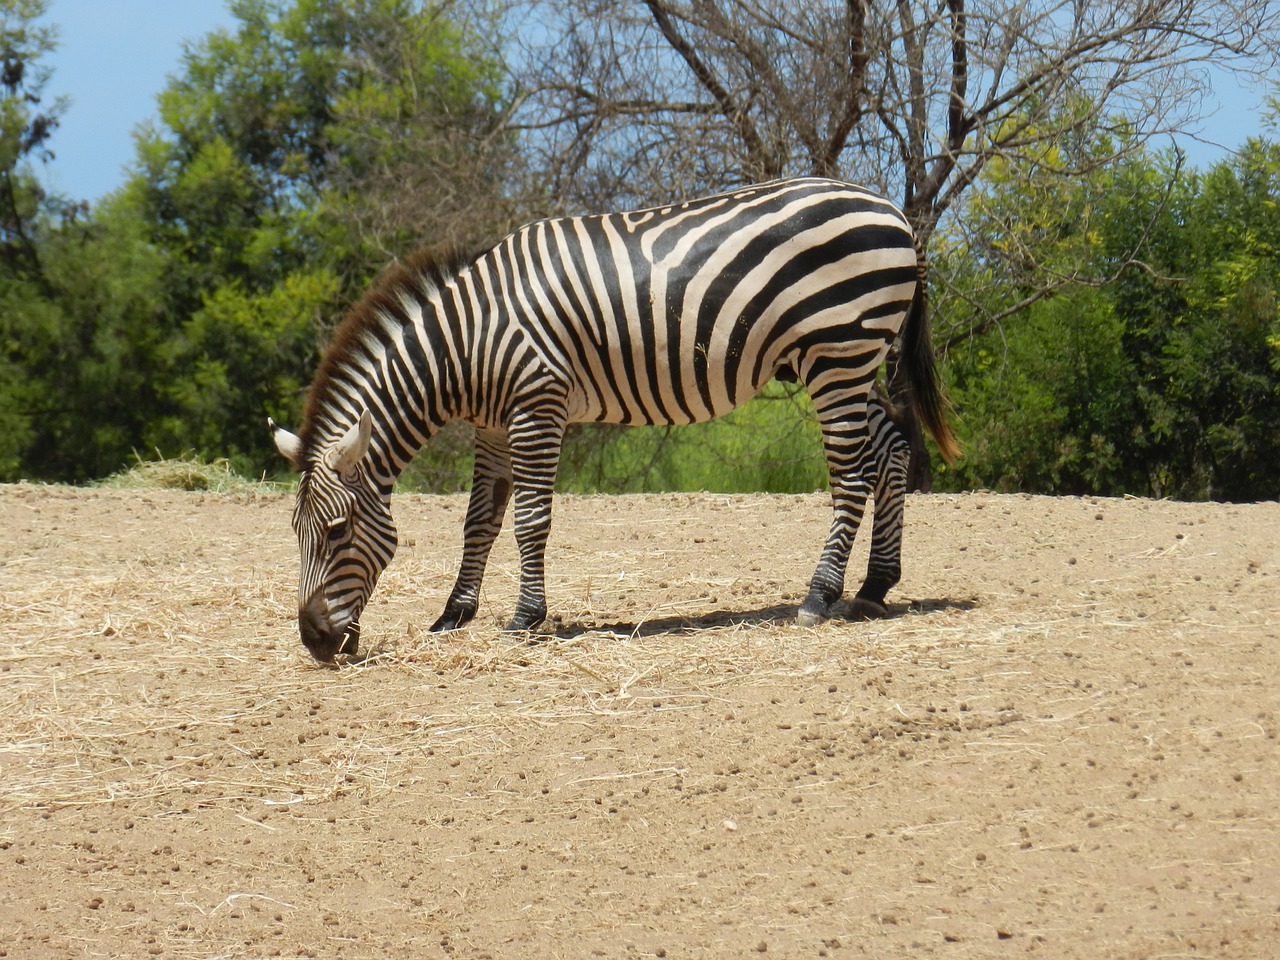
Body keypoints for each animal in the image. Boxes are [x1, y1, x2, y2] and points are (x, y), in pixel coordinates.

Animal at [270, 176, 957, 665]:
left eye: (335, 532)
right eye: (296, 535)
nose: (313, 643)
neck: (463, 345)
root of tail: (892, 209)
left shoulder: (537, 403)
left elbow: (529, 521)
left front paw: (524, 619)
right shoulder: (492, 425)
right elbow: (479, 521)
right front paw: (453, 615)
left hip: (836, 350)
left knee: (851, 472)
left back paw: (819, 596)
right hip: (850, 359)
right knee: (891, 451)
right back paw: (875, 586)